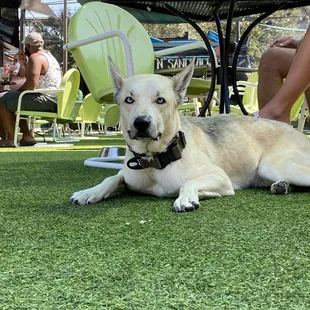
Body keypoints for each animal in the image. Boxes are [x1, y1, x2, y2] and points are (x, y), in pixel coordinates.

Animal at [71, 59, 310, 212]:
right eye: (129, 100)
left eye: (160, 100)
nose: (141, 123)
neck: (155, 160)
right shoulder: (129, 176)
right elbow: (111, 178)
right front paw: (89, 192)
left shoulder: (221, 178)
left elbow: (189, 182)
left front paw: (185, 198)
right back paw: (282, 186)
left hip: (271, 165)